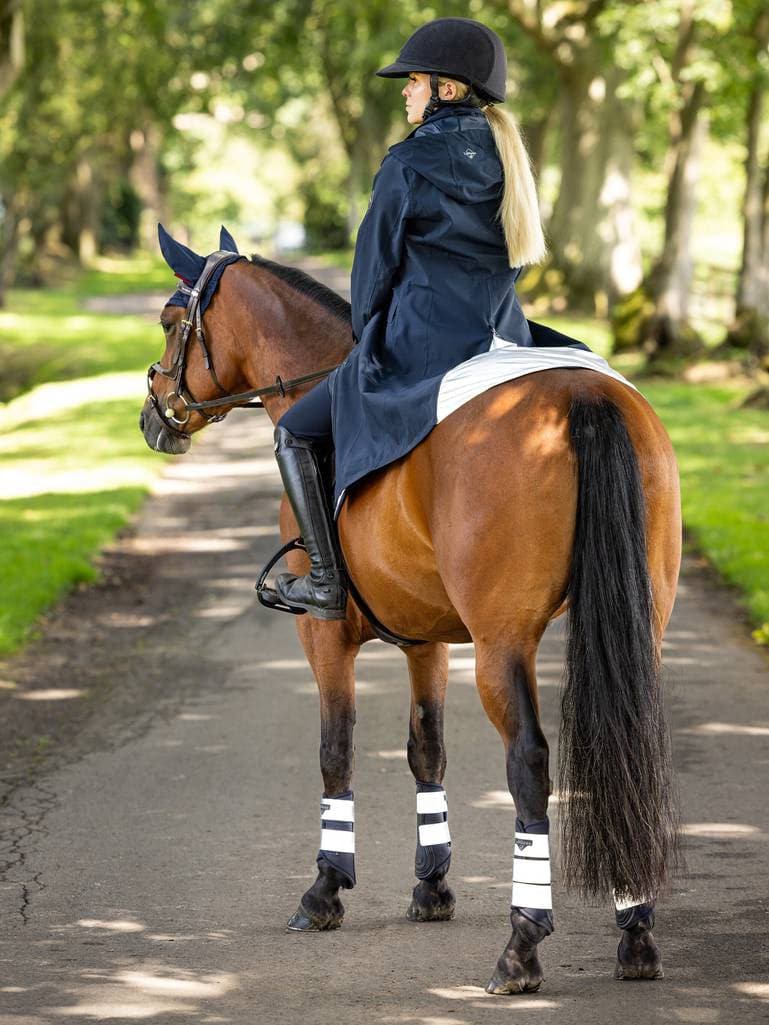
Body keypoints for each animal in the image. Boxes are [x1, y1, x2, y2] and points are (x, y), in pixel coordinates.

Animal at [140, 238, 681, 994]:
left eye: (169, 321)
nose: (153, 412)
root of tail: (583, 395)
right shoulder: (428, 641)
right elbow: (427, 748)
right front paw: (432, 886)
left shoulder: (324, 634)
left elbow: (335, 750)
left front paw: (325, 889)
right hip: (638, 625)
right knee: (628, 740)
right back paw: (635, 932)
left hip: (501, 642)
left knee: (528, 762)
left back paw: (522, 945)